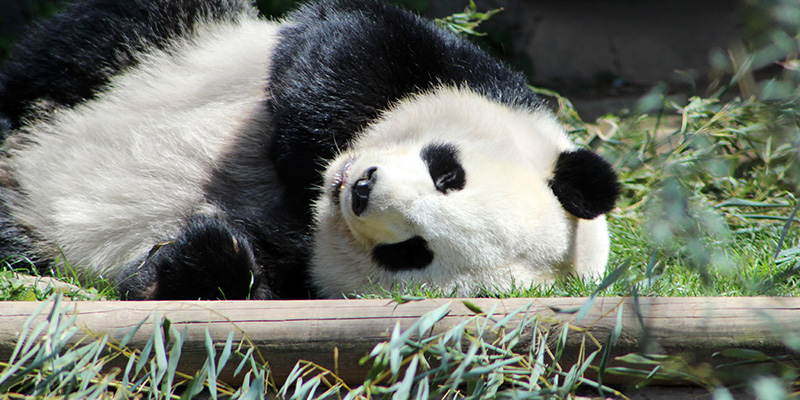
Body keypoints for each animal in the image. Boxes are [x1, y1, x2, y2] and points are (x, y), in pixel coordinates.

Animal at [0, 0, 620, 298]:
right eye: (447, 171)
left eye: (413, 253)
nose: (362, 189)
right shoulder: (476, 75)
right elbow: (351, 38)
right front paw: (305, 154)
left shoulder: (303, 277)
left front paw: (203, 255)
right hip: (159, 47)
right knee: (82, 46)